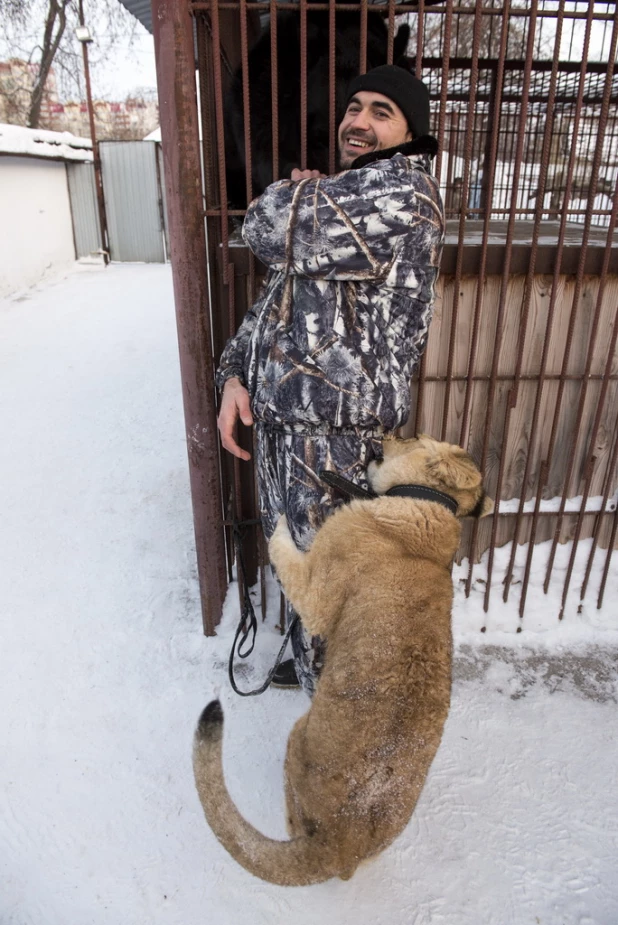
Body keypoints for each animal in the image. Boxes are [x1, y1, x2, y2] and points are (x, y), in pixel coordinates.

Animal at [192, 436, 490, 884]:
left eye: (412, 439)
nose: (384, 436)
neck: (428, 504)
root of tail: (339, 847)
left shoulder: (316, 595)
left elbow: (282, 548)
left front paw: (277, 517)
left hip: (296, 737)